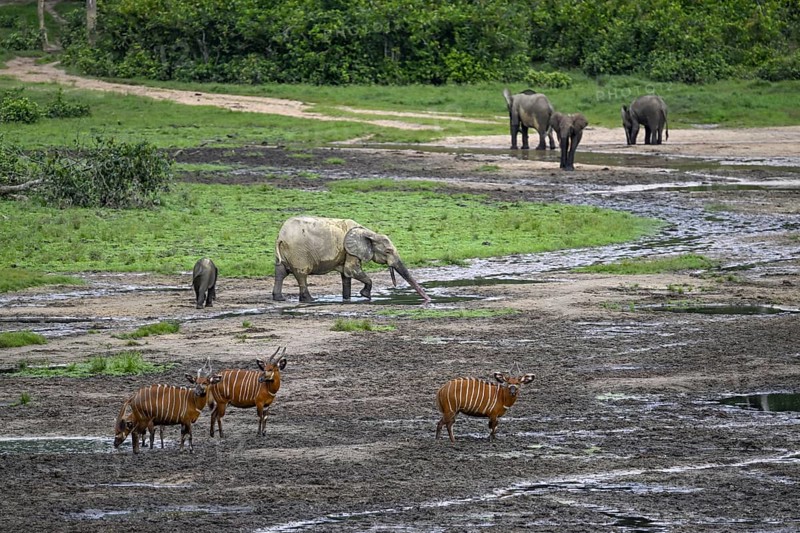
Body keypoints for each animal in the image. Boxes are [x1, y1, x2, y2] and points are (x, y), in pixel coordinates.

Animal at [272, 216, 430, 303]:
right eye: (388, 251)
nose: (428, 300)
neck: (369, 232)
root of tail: (281, 236)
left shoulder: (347, 251)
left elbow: (346, 275)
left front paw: (347, 299)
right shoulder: (351, 250)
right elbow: (352, 270)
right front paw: (365, 295)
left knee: (280, 272)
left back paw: (279, 298)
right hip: (299, 253)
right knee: (301, 274)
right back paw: (310, 300)